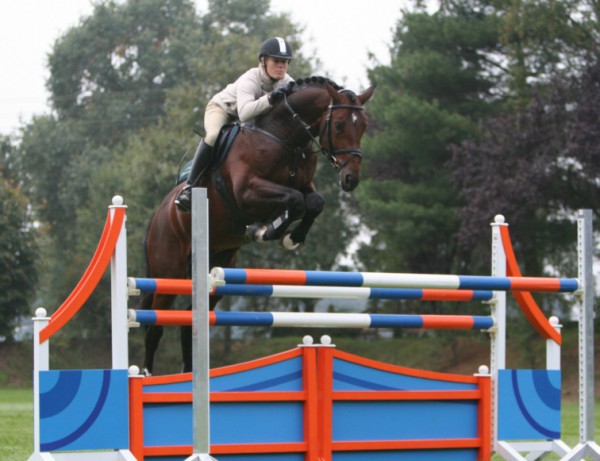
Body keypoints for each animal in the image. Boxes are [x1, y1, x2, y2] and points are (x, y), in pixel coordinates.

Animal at [142, 76, 376, 374]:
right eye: (339, 125)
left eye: (364, 126)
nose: (350, 179)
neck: (286, 137)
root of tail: (156, 218)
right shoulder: (248, 191)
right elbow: (295, 200)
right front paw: (266, 230)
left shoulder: (303, 186)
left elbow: (313, 202)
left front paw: (287, 235)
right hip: (167, 270)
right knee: (155, 326)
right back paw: (146, 375)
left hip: (216, 268)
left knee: (188, 322)